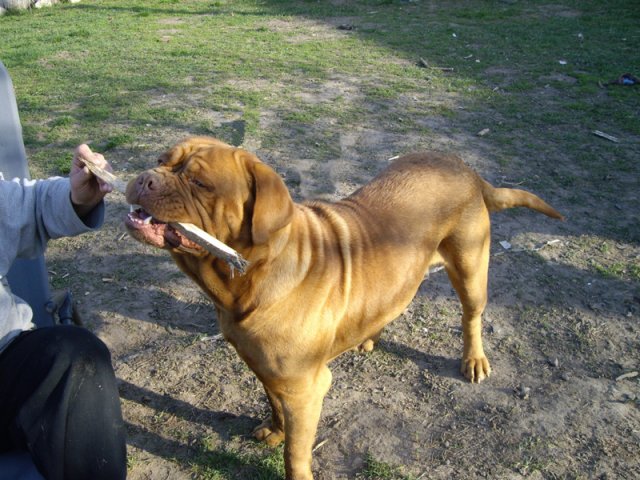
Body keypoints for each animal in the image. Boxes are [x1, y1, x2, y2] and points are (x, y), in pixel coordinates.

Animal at [125, 136, 563, 479]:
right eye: (162, 159)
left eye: (200, 182)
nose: (145, 177)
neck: (251, 273)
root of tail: (465, 167)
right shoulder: (268, 370)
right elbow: (273, 404)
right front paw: (275, 430)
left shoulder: (306, 388)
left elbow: (296, 454)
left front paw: (291, 456)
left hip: (470, 268)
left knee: (471, 316)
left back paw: (473, 360)